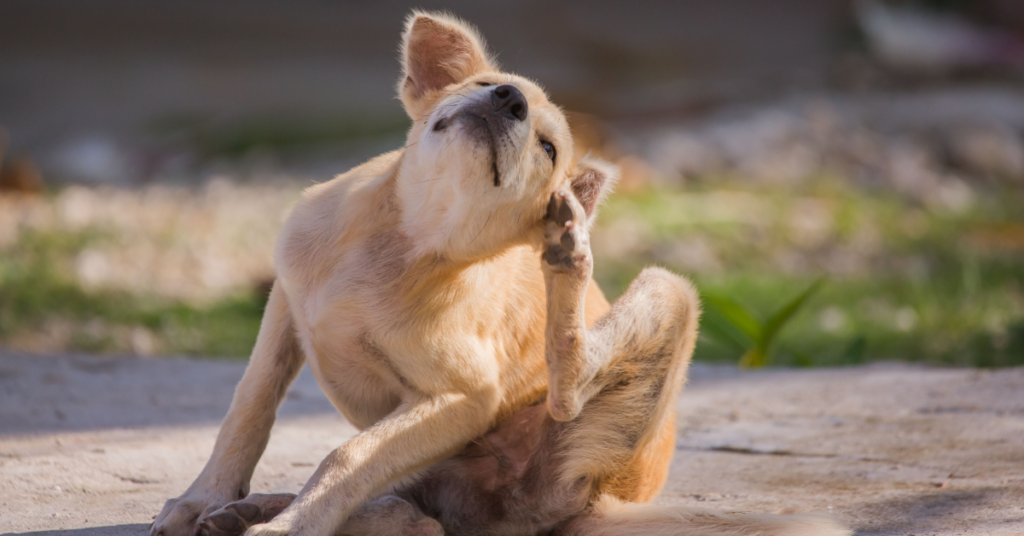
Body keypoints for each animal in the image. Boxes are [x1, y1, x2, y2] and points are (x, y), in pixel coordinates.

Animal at [151, 11, 851, 536]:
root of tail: (607, 504)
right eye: (490, 82)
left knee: (544, 409)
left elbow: (348, 455)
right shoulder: (285, 305)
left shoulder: (462, 398)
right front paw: (202, 498)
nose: (507, 99)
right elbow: (248, 409)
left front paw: (294, 525)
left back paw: (569, 255)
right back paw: (251, 507)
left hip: (661, 304)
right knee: (413, 512)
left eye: (548, 147)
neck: (404, 241)